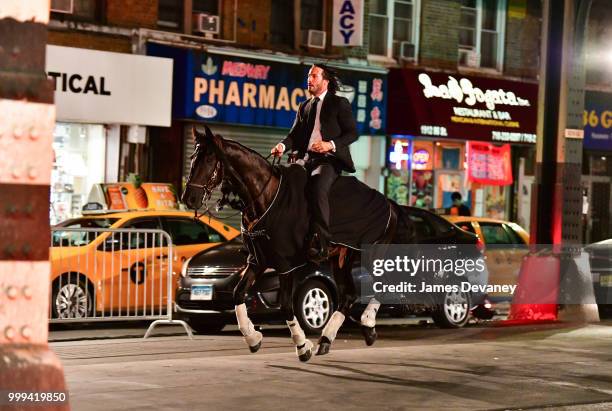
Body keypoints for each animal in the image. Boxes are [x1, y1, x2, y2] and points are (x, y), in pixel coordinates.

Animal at [179, 127, 414, 362]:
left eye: (209, 159)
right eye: (192, 158)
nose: (188, 198)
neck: (265, 196)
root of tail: (390, 203)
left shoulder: (286, 264)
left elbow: (286, 306)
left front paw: (302, 345)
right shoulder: (258, 260)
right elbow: (238, 294)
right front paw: (253, 338)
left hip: (372, 254)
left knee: (384, 285)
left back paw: (367, 324)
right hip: (341, 258)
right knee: (349, 295)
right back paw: (328, 338)